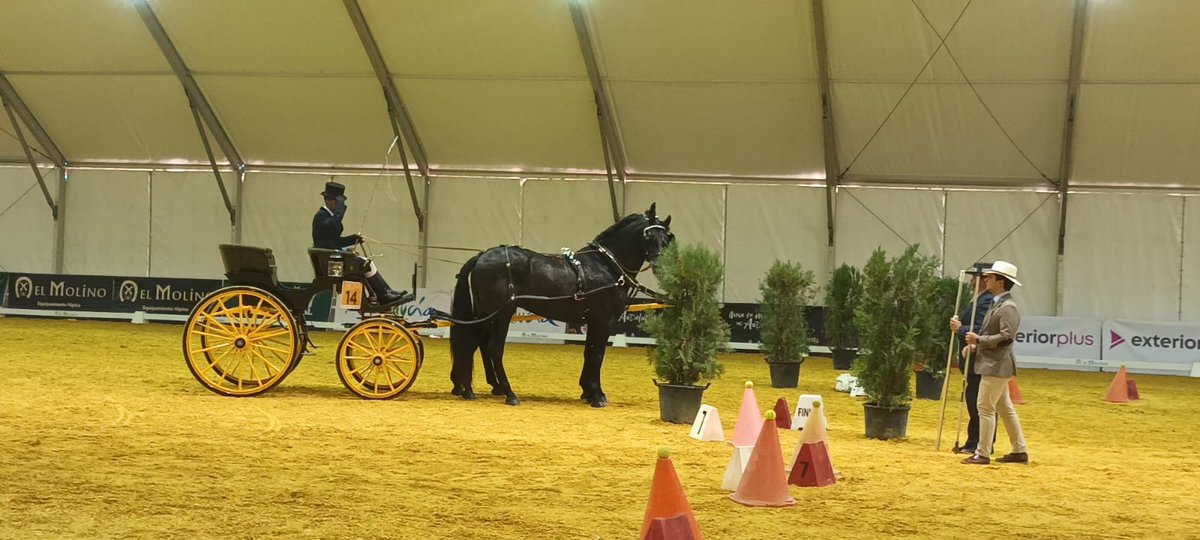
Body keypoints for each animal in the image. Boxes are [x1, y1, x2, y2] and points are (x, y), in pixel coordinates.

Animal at [451, 205, 676, 408]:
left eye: (666, 239)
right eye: (649, 236)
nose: (661, 267)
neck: (606, 266)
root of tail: (482, 255)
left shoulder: (592, 321)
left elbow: (589, 353)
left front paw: (587, 391)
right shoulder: (604, 321)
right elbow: (597, 355)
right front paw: (597, 396)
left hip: (487, 314)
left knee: (476, 344)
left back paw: (472, 389)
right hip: (502, 313)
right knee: (493, 348)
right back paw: (509, 393)